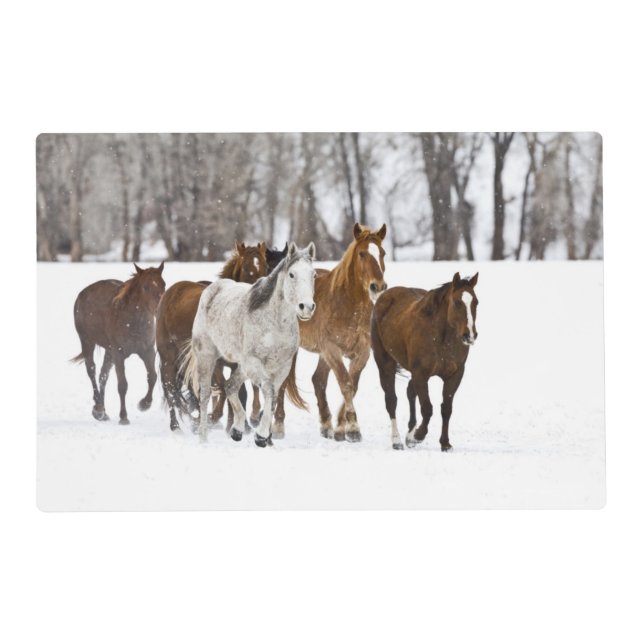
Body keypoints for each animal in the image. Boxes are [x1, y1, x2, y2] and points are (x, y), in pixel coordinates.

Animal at [71, 262, 166, 424]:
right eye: (145, 287)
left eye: (163, 284)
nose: (159, 308)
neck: (133, 321)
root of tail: (81, 295)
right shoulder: (119, 353)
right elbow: (122, 385)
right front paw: (123, 417)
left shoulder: (147, 351)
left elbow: (152, 376)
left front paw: (144, 404)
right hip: (87, 341)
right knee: (91, 371)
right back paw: (98, 409)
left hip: (109, 351)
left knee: (103, 375)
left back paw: (103, 412)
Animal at [155, 242, 271, 432]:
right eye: (246, 268)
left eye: (266, 267)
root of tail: (170, 292)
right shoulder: (214, 362)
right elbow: (223, 389)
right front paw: (215, 418)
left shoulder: (237, 363)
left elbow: (240, 392)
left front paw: (236, 425)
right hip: (169, 357)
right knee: (170, 387)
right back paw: (176, 426)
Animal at [181, 242, 316, 446]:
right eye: (292, 274)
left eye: (313, 274)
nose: (306, 307)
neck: (275, 324)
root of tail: (212, 289)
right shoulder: (255, 363)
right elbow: (268, 391)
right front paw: (261, 435)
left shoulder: (282, 367)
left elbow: (273, 398)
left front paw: (264, 436)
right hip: (207, 357)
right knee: (205, 395)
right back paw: (203, 438)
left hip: (242, 366)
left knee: (230, 386)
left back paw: (237, 430)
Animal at [273, 223, 388, 442]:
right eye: (362, 253)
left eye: (382, 253)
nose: (378, 286)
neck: (348, 306)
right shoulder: (332, 349)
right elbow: (346, 384)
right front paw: (353, 428)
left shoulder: (361, 352)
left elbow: (352, 385)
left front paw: (341, 428)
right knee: (283, 382)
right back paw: (278, 427)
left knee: (318, 380)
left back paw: (326, 425)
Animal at [370, 272, 479, 451]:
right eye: (457, 302)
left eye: (476, 302)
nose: (469, 335)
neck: (442, 338)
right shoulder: (420, 373)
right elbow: (427, 408)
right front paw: (419, 435)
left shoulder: (454, 375)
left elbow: (446, 409)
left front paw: (445, 443)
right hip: (385, 363)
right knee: (391, 400)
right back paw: (397, 440)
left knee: (409, 392)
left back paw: (409, 435)